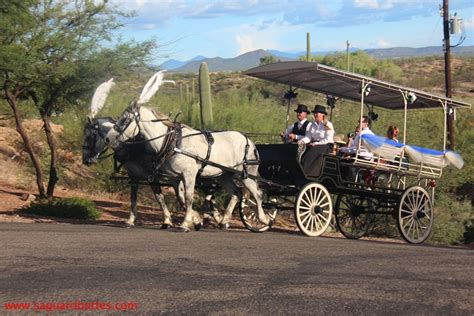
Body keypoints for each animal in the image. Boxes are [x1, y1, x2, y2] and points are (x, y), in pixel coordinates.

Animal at [105, 105, 272, 231]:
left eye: (125, 120)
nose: (108, 138)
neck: (172, 142)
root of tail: (249, 141)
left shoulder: (189, 174)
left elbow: (188, 197)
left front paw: (185, 224)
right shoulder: (174, 177)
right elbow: (180, 198)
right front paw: (196, 220)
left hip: (246, 175)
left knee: (257, 194)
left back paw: (264, 220)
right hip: (223, 175)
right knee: (236, 193)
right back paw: (224, 221)